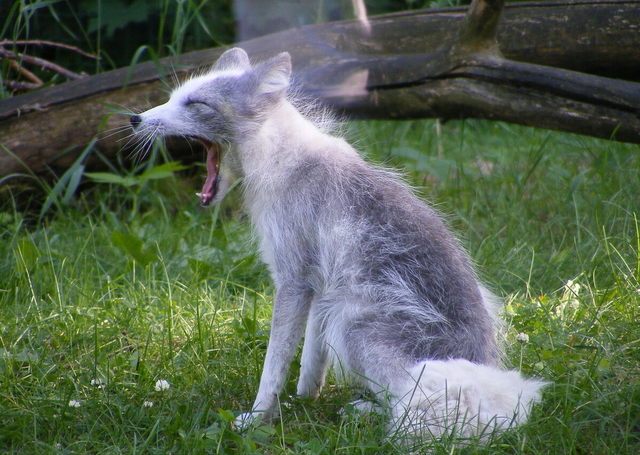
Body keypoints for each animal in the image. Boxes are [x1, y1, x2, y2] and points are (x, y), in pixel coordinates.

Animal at [129, 47, 544, 442]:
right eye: (173, 97)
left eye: (196, 103)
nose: (135, 119)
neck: (281, 160)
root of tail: (489, 376)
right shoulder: (320, 285)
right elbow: (312, 355)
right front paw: (304, 397)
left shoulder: (294, 280)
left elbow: (274, 363)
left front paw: (258, 418)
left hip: (353, 324)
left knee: (408, 405)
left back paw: (371, 415)